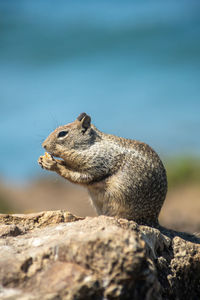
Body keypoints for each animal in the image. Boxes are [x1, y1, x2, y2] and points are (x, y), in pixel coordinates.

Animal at [37, 112, 167, 225]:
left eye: (62, 133)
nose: (43, 145)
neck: (89, 147)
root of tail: (153, 219)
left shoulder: (97, 165)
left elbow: (78, 177)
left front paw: (53, 164)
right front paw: (45, 160)